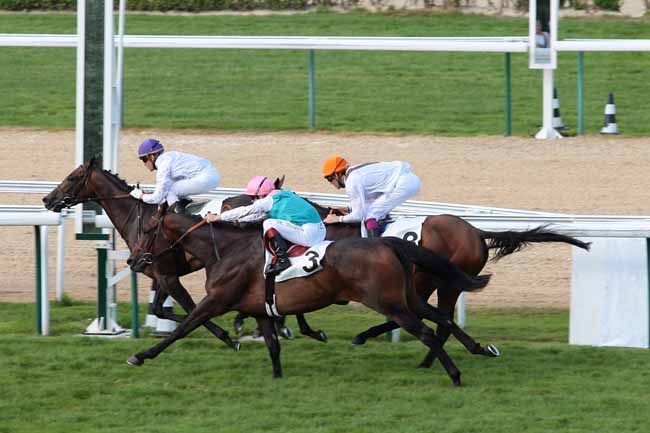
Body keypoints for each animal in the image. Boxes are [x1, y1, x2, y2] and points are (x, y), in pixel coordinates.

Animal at [41, 159, 238, 348]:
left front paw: (227, 336)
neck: (142, 220)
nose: (47, 199)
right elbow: (160, 311)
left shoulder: (168, 276)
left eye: (71, 178)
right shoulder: (163, 275)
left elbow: (191, 309)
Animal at [125, 213, 492, 384]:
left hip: (392, 303)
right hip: (408, 298)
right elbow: (273, 345)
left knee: (428, 330)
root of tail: (387, 242)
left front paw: (141, 356)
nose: (133, 260)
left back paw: (454, 374)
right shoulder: (261, 310)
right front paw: (277, 377)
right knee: (440, 319)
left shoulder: (215, 301)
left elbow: (183, 328)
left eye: (147, 230)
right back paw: (477, 348)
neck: (226, 250)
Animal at [220, 194, 588, 366]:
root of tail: (477, 231)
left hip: (442, 281)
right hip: (437, 281)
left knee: (436, 319)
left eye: (231, 204)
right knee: (435, 317)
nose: (212, 214)